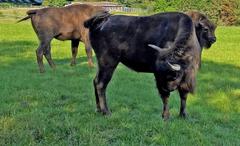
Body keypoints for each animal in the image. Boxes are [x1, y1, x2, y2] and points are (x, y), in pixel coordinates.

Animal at [85, 10, 218, 120]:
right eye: (205, 28)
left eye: (211, 28)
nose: (213, 39)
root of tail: (102, 21)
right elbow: (166, 97)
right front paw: (166, 116)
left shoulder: (186, 78)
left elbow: (183, 95)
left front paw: (183, 115)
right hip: (108, 63)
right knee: (101, 84)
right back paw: (106, 112)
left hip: (102, 64)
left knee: (95, 81)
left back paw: (98, 110)